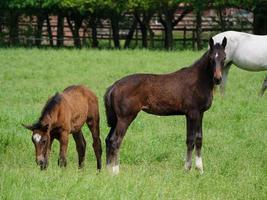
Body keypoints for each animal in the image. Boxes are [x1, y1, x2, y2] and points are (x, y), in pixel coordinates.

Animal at [105, 37, 227, 175]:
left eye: (224, 58)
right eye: (211, 58)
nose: (218, 79)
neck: (199, 80)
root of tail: (114, 86)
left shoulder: (200, 113)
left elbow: (199, 139)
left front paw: (200, 169)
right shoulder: (192, 113)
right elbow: (190, 140)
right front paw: (187, 168)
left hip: (116, 119)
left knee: (109, 140)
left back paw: (107, 170)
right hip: (125, 118)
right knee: (116, 141)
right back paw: (116, 171)